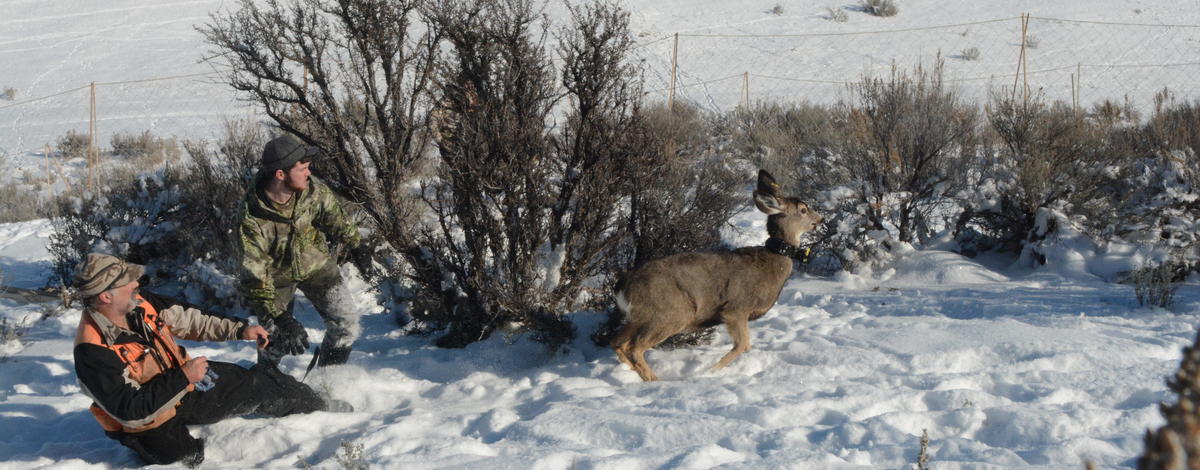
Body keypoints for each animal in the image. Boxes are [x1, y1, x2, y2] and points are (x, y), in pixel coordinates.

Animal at [611, 169, 823, 381]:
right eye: (803, 210)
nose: (820, 219)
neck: (771, 263)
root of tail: (622, 287)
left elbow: (746, 346)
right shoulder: (735, 309)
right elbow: (742, 345)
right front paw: (711, 371)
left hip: (639, 318)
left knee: (617, 343)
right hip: (671, 313)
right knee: (633, 348)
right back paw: (657, 381)